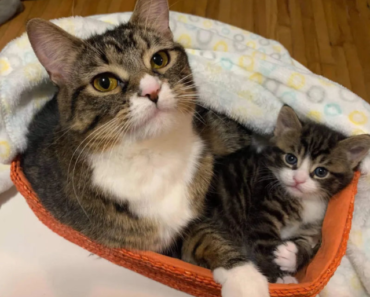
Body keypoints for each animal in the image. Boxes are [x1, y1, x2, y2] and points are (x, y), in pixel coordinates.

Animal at [181, 106, 370, 296]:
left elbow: (310, 248)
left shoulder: (315, 226)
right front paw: (280, 277)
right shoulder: (263, 212)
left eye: (321, 171)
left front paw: (294, 256)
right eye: (291, 158)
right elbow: (264, 245)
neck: (304, 201)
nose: (298, 180)